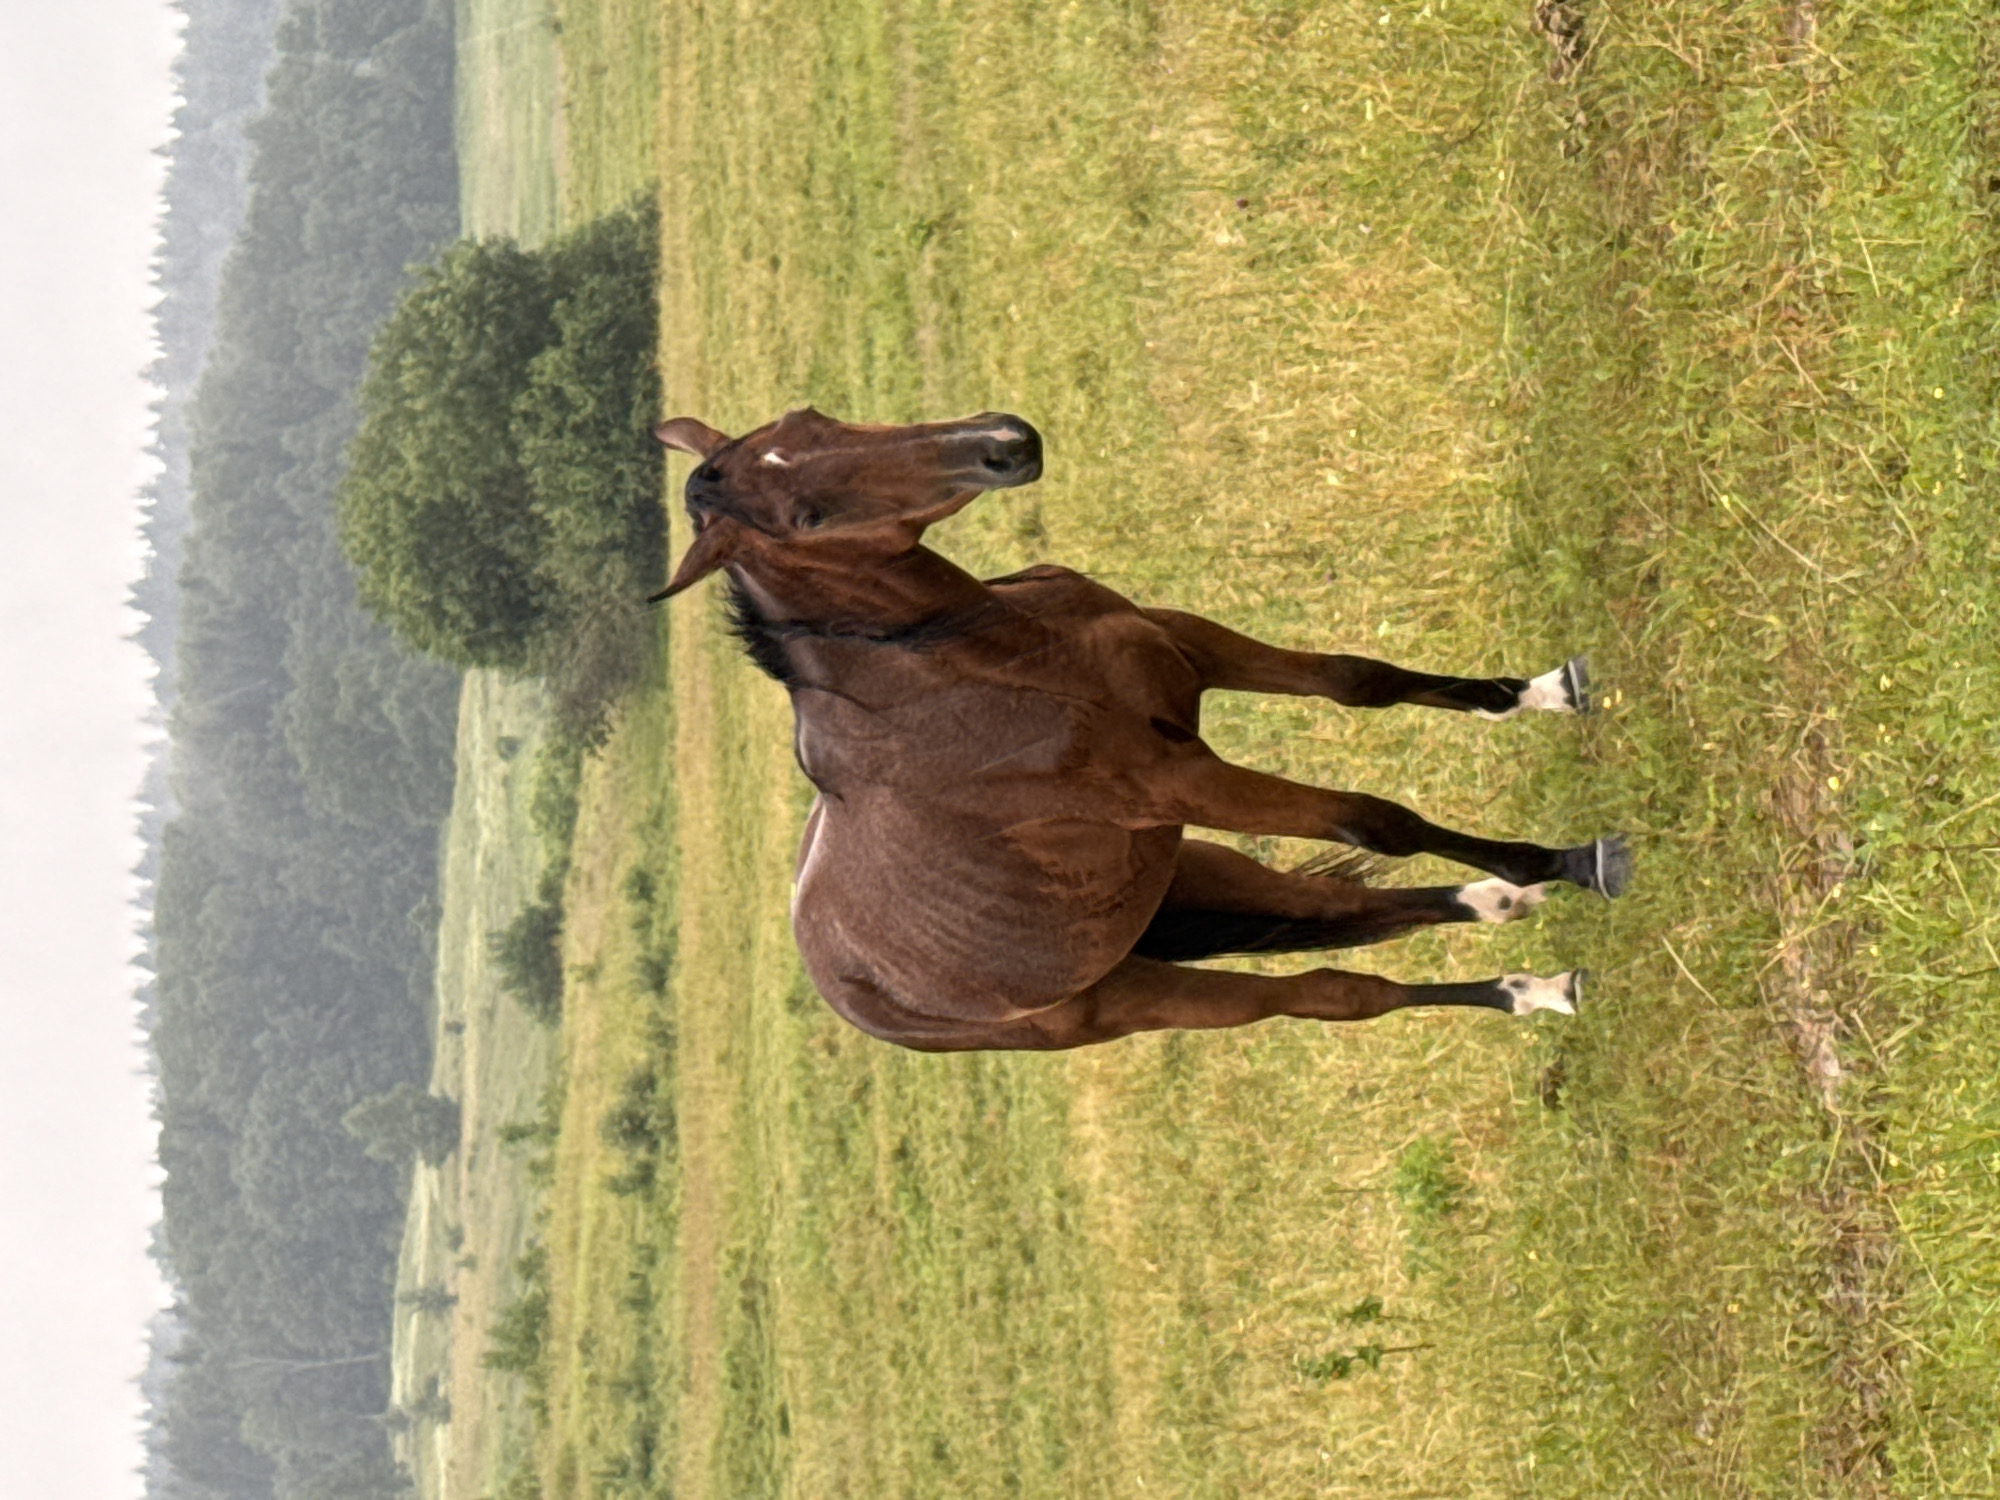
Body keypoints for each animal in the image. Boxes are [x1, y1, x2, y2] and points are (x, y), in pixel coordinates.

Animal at [651, 408, 1629, 1052]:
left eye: (809, 415)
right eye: (805, 518)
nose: (1002, 443)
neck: (988, 660)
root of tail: (853, 993)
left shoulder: (1188, 646)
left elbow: (1361, 682)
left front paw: (1545, 693)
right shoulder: (1178, 780)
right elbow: (1374, 821)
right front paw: (1567, 860)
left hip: (1188, 874)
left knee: (1349, 913)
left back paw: (1520, 956)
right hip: (1140, 995)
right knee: (1336, 991)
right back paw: (1525, 955)